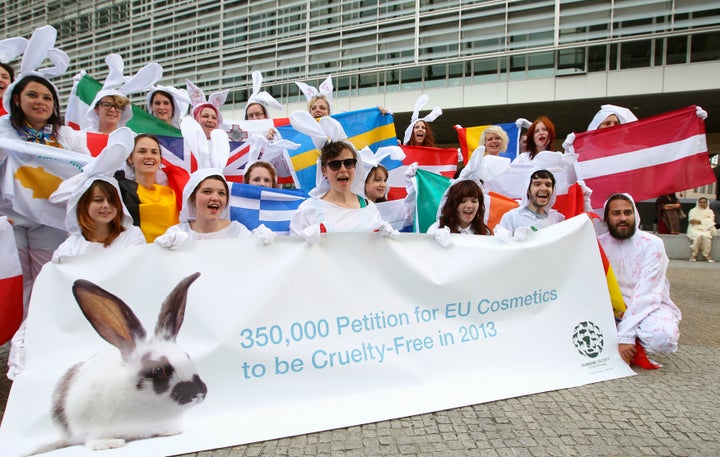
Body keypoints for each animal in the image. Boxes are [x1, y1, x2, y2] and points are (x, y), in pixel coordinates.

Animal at [34, 270, 207, 452]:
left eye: (187, 356)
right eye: (158, 370)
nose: (200, 393)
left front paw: (170, 432)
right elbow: (92, 440)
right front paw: (108, 444)